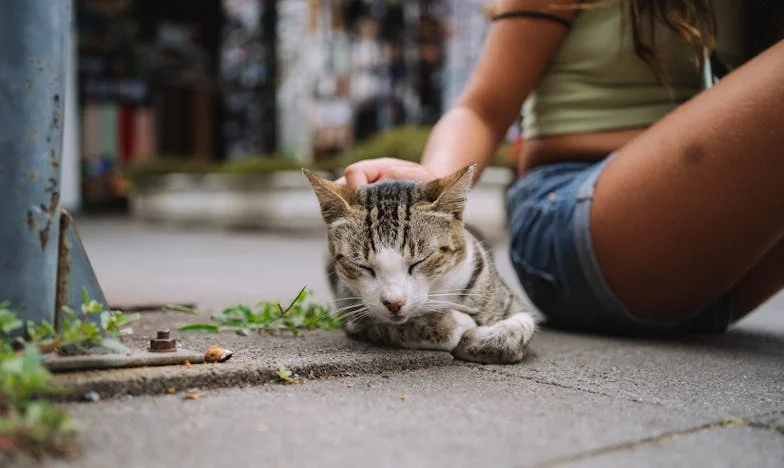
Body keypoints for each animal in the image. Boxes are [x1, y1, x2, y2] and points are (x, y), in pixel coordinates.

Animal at [304, 165, 536, 366]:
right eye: (362, 266)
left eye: (420, 261)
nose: (394, 303)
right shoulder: (355, 315)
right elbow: (401, 324)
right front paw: (455, 324)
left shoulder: (505, 297)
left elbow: (521, 325)